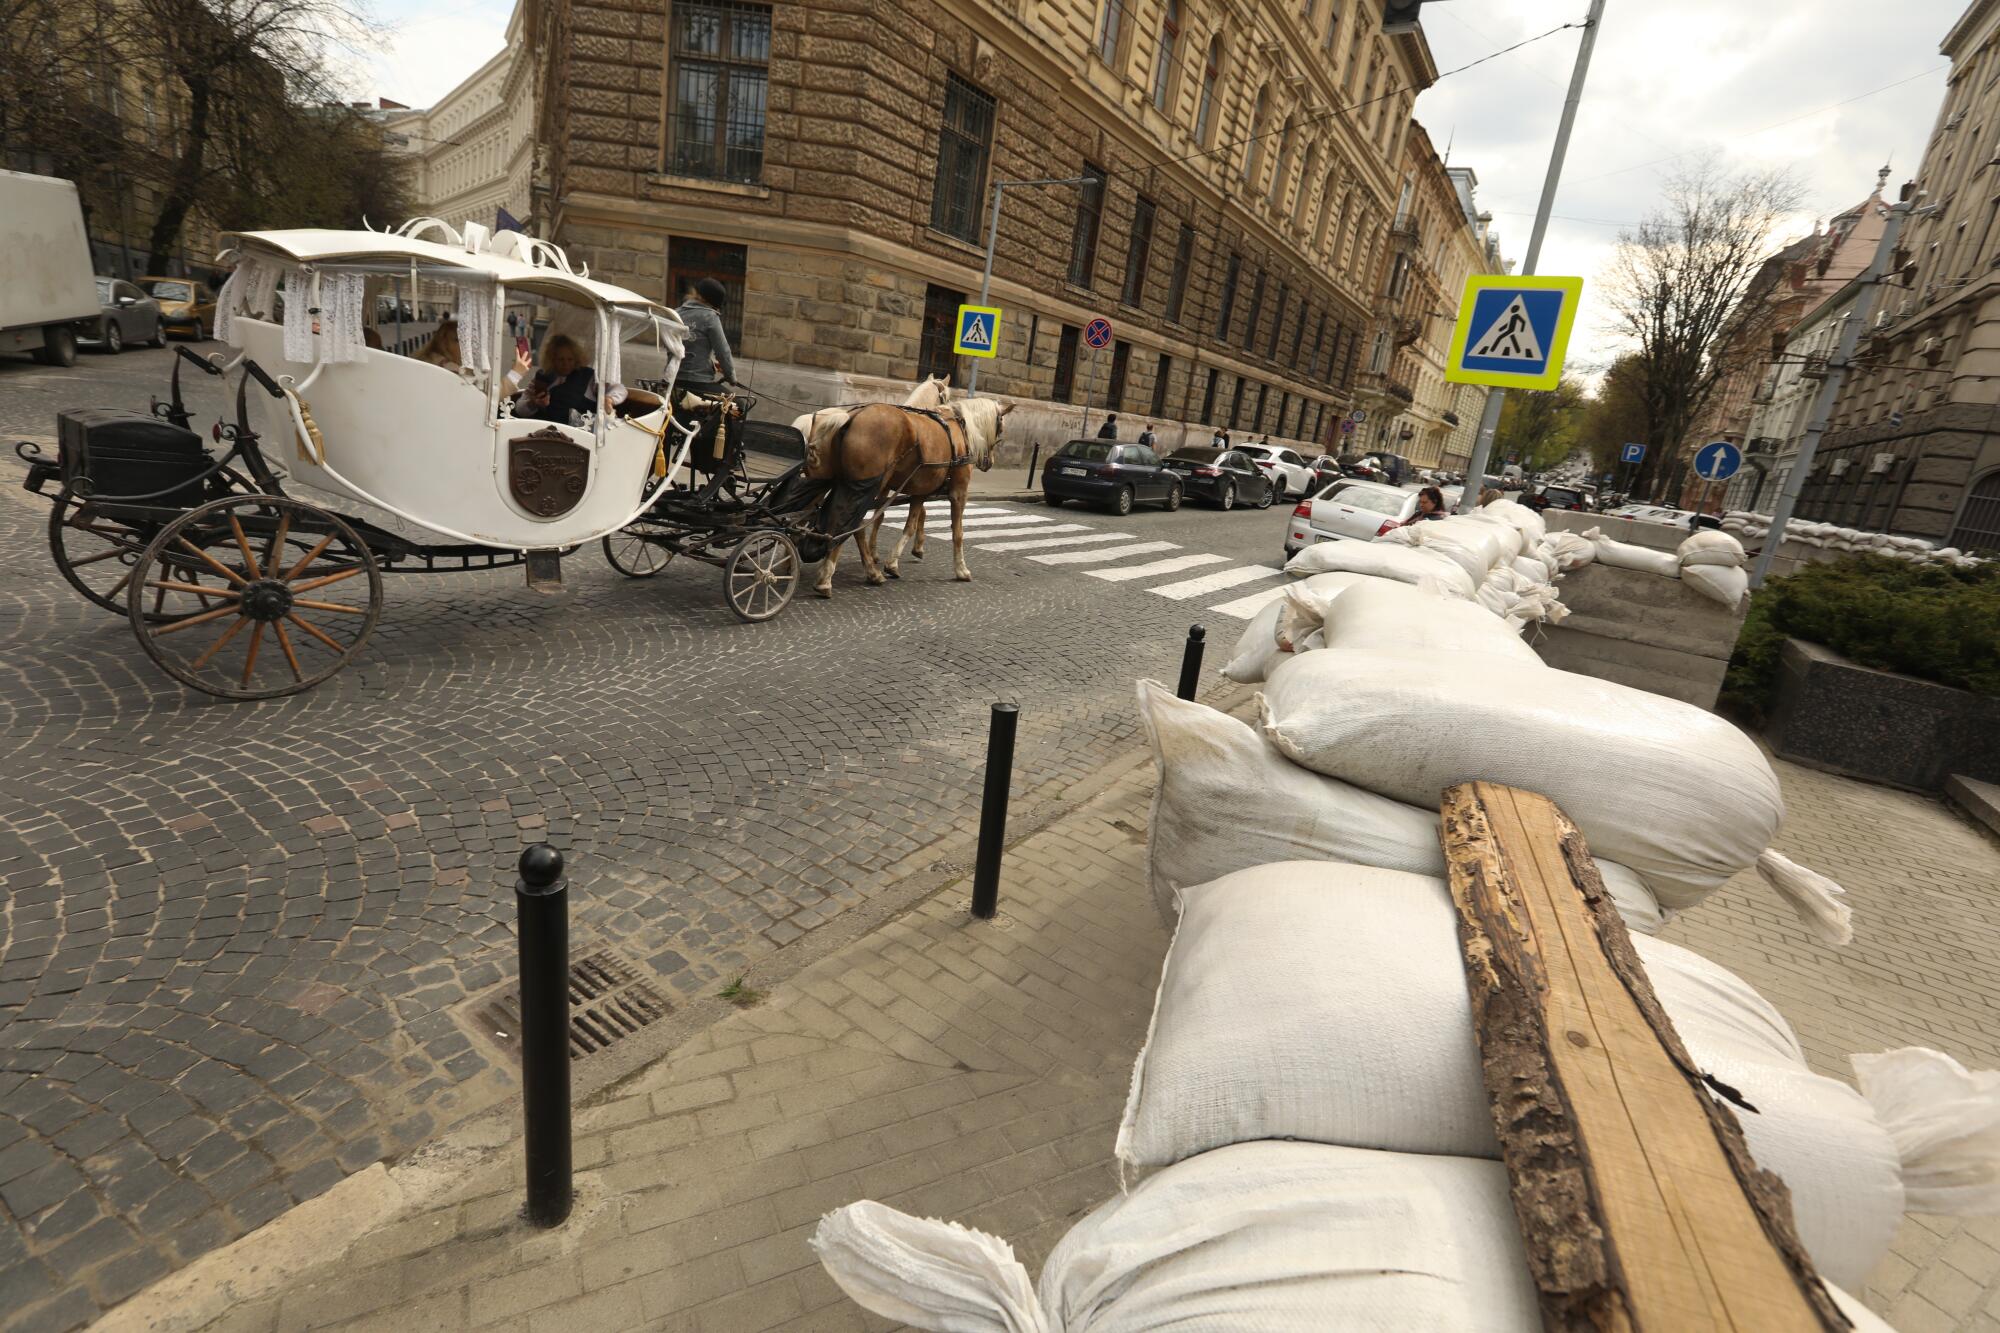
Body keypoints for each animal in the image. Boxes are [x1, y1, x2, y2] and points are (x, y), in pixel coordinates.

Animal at [808, 394, 1008, 596]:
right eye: (1000, 428)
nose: (989, 462)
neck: (960, 431)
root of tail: (851, 417)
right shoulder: (959, 492)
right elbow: (957, 532)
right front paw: (961, 569)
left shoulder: (920, 492)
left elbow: (911, 525)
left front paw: (893, 563)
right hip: (868, 486)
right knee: (852, 523)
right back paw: (831, 576)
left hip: (843, 482)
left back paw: (866, 571)